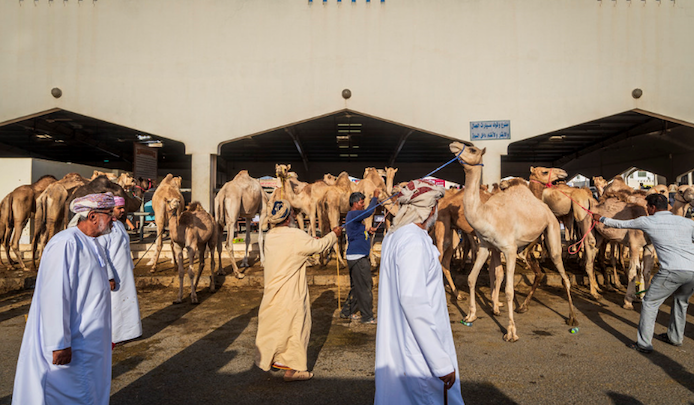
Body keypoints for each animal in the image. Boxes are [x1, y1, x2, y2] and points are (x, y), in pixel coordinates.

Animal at [448, 142, 580, 340]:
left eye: (472, 149)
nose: (454, 145)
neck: (485, 214)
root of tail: (545, 208)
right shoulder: (486, 246)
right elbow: (472, 278)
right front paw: (470, 315)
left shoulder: (509, 249)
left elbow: (509, 290)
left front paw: (511, 331)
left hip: (553, 229)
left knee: (563, 274)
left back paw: (572, 318)